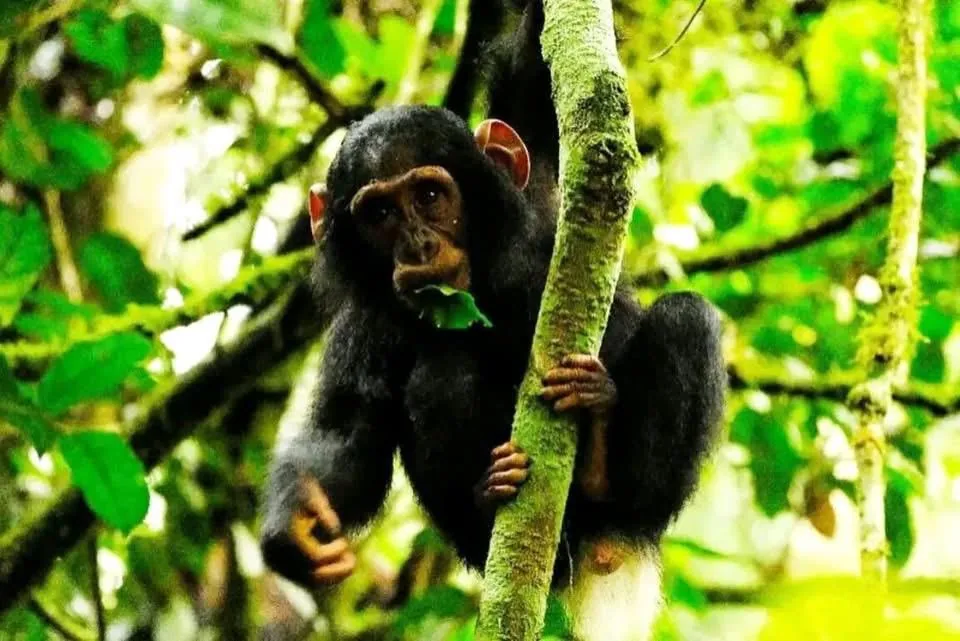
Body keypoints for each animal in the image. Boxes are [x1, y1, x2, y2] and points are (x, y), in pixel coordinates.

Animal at [260, 2, 725, 639]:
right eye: (379, 213)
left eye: (430, 196)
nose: (419, 245)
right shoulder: (362, 330)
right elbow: (348, 432)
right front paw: (299, 521)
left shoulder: (543, 190)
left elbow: (531, 73)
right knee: (441, 373)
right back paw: (493, 493)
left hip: (636, 513)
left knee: (686, 320)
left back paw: (603, 450)